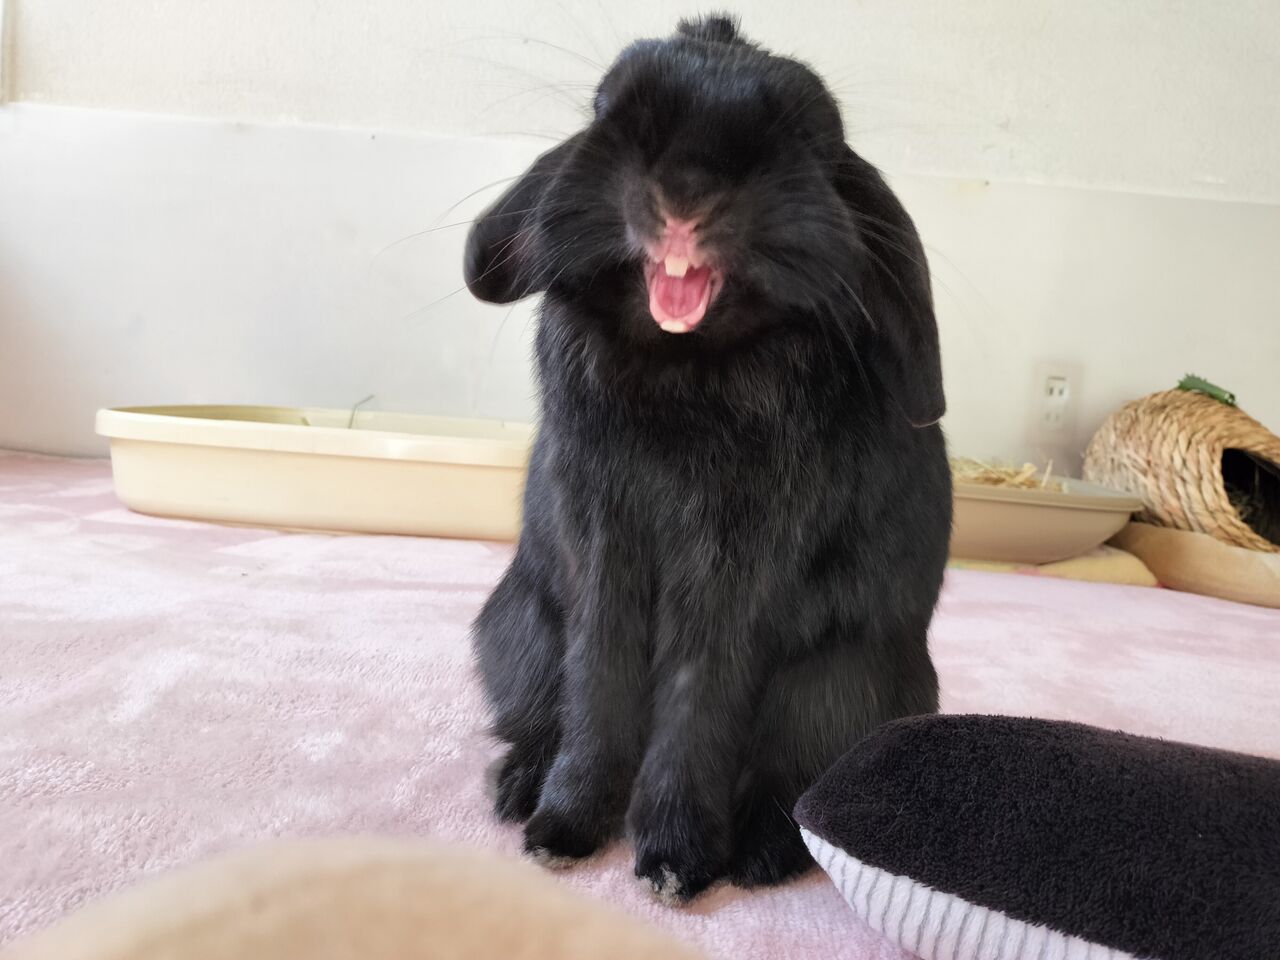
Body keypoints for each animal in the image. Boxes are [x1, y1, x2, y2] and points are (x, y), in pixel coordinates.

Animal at [465, 14, 951, 904]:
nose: (685, 192)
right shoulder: (602, 543)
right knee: (537, 717)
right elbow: (599, 681)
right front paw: (562, 831)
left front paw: (673, 861)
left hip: (838, 688)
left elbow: (700, 697)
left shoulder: (739, 560)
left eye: (814, 134)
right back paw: (517, 790)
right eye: (607, 105)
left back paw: (759, 854)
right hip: (521, 633)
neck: (683, 362)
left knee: (792, 785)